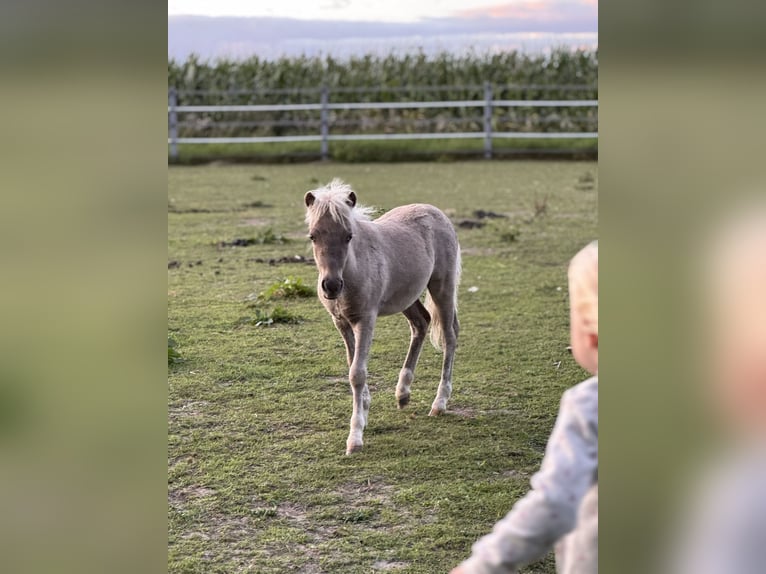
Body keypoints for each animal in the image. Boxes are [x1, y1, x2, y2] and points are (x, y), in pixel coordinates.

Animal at [304, 179, 461, 455]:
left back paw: (439, 403)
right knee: (421, 323)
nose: (331, 286)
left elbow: (357, 373)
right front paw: (365, 409)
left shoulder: (366, 320)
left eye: (348, 236)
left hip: (442, 286)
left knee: (449, 336)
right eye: (313, 236)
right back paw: (403, 394)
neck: (354, 269)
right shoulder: (342, 323)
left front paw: (355, 437)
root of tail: (436, 212)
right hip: (406, 296)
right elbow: (352, 364)